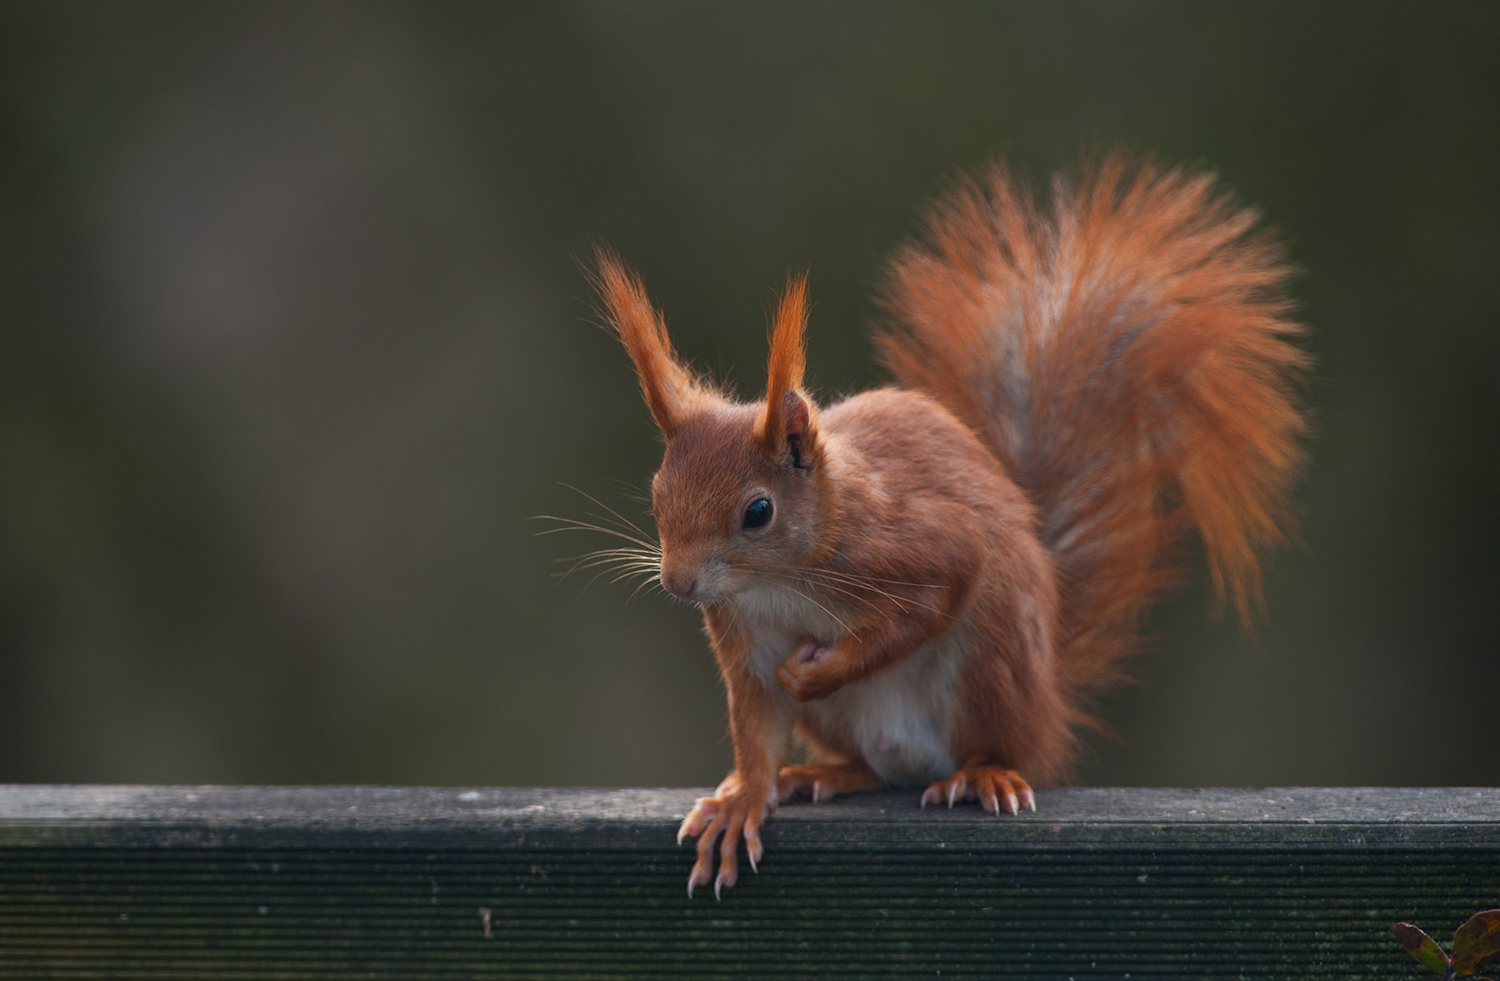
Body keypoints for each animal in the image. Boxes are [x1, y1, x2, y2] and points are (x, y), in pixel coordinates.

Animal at [585, 153, 1302, 900]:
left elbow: (933, 596)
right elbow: (756, 727)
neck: (777, 581)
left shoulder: (914, 546)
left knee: (990, 737)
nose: (679, 582)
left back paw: (984, 774)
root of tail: (1045, 710)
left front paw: (816, 670)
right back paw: (824, 773)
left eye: (758, 511)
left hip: (992, 661)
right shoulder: (745, 640)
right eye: (657, 492)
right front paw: (744, 799)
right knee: (873, 770)